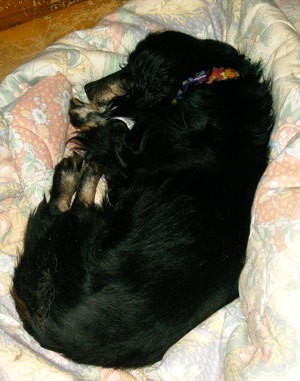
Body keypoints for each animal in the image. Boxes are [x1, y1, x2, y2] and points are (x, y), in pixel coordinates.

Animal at [11, 31, 274, 366]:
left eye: (130, 69)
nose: (88, 88)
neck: (210, 81)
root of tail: (51, 331)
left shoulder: (133, 163)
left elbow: (114, 125)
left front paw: (83, 113)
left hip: (82, 233)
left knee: (62, 209)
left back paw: (74, 171)